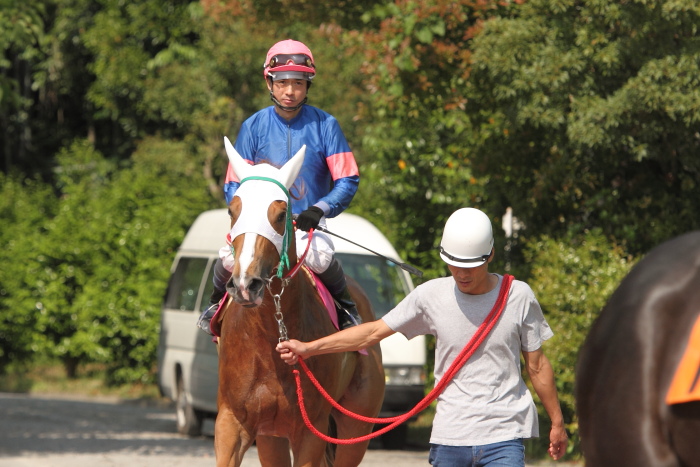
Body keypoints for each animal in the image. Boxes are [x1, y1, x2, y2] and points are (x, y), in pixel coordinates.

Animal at [211, 139, 386, 467]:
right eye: (232, 210)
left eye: (281, 215)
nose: (245, 285)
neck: (268, 339)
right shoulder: (232, 423)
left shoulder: (310, 431)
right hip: (271, 437)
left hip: (355, 429)